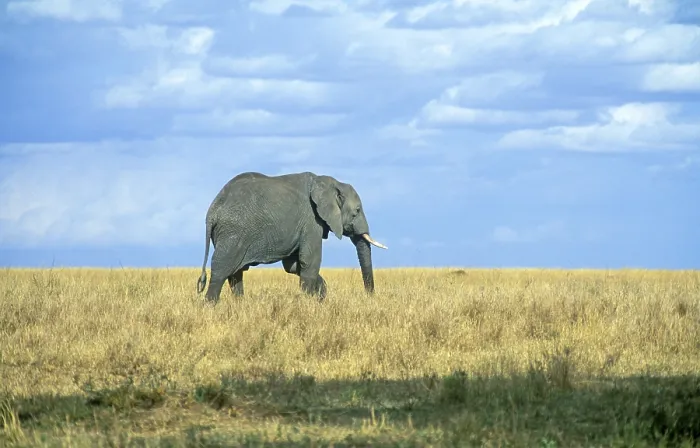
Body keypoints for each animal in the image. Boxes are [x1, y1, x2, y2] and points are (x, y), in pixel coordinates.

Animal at [195, 171, 387, 304]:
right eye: (357, 211)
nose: (369, 298)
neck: (328, 182)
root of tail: (213, 210)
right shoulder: (312, 221)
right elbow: (309, 261)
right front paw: (309, 302)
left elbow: (293, 265)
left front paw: (320, 294)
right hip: (233, 232)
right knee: (222, 269)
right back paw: (210, 306)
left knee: (236, 273)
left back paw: (239, 306)